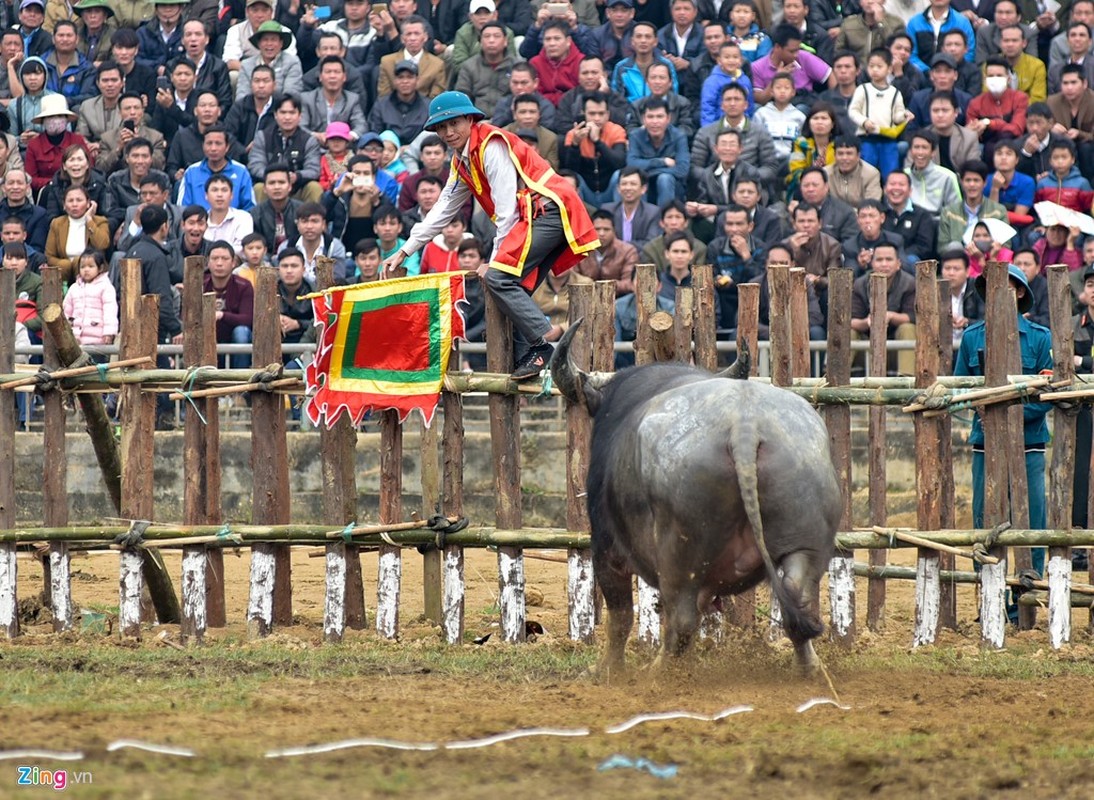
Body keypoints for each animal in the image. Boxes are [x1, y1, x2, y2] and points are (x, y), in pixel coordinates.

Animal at [551, 321, 840, 674]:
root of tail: (745, 425)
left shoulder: (606, 548)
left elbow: (620, 616)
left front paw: (606, 670)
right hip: (807, 543)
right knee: (798, 603)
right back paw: (811, 671)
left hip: (680, 555)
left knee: (681, 619)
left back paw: (657, 673)